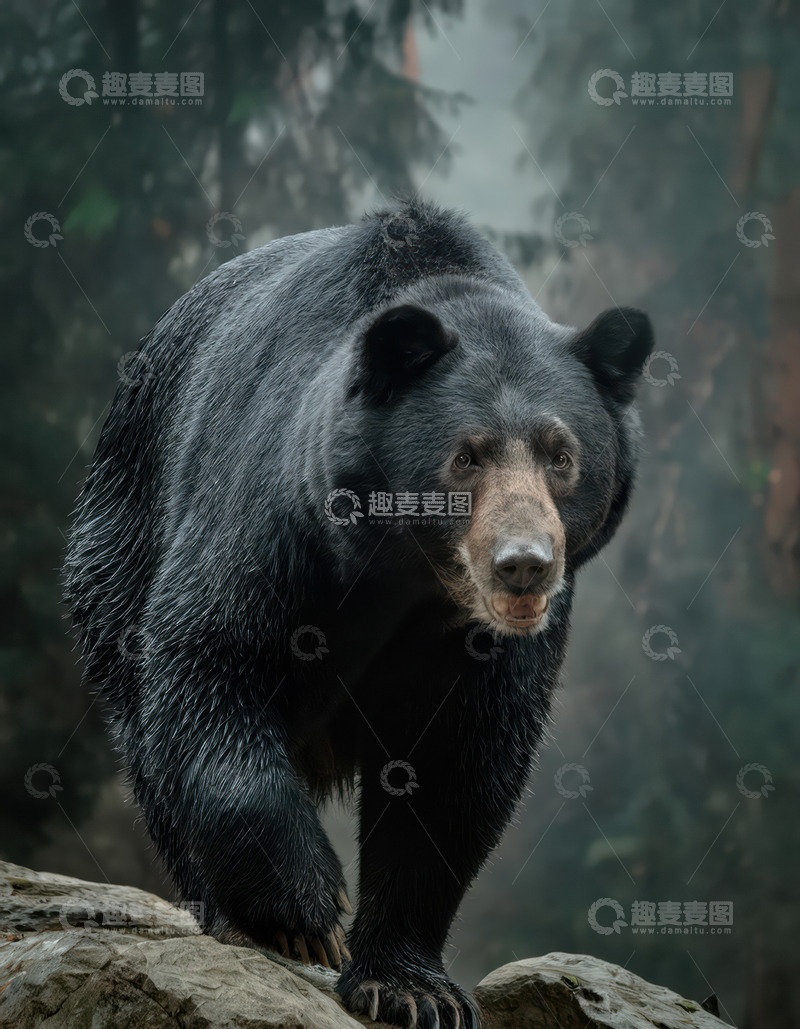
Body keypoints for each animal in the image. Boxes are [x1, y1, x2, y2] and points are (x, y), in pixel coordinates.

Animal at [64, 200, 653, 1029]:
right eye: (467, 455)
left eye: (560, 454)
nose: (524, 564)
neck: (407, 577)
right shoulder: (278, 517)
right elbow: (214, 660)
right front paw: (304, 912)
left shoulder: (490, 646)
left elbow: (456, 768)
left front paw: (412, 987)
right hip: (117, 541)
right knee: (148, 731)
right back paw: (225, 909)